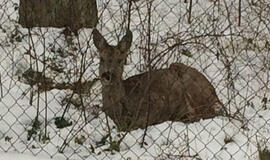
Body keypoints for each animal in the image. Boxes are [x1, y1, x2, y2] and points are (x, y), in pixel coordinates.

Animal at [93, 29, 224, 131]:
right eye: (101, 58)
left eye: (120, 59)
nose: (107, 75)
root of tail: (214, 93)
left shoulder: (156, 102)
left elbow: (137, 124)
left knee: (210, 112)